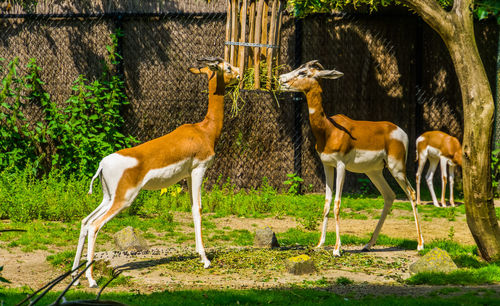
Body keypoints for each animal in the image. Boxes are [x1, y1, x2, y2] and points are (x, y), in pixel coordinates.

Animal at [71, 56, 240, 286]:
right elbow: (198, 209)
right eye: (228, 67)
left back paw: (74, 277)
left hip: (108, 198)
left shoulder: (187, 175)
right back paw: (91, 279)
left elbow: (191, 208)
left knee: (85, 222)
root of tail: (102, 164)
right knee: (94, 226)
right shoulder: (199, 169)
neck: (204, 130)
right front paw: (205, 259)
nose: (240, 74)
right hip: (123, 199)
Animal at [280, 60, 424, 256]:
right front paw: (320, 244)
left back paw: (420, 245)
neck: (328, 130)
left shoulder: (341, 165)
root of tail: (399, 131)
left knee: (411, 193)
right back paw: (368, 245)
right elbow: (326, 203)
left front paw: (336, 249)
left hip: (397, 168)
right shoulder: (327, 165)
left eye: (303, 72)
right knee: (389, 195)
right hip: (374, 172)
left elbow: (337, 203)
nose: (281, 79)